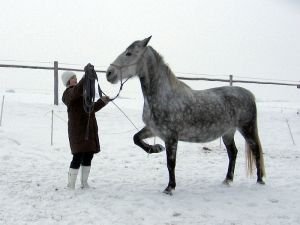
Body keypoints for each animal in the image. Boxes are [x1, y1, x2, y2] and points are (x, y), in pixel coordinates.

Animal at [105, 36, 264, 194]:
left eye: (129, 53)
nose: (109, 73)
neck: (164, 96)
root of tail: (249, 94)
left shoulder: (171, 137)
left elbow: (171, 163)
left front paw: (169, 188)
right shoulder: (154, 130)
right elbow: (136, 138)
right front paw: (156, 148)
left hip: (247, 129)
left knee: (256, 150)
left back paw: (260, 180)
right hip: (228, 133)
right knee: (233, 153)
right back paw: (227, 180)